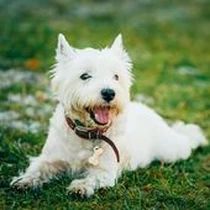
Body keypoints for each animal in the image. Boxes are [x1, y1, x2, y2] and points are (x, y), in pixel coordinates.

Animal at [11, 33, 207, 198]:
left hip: (170, 150)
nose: (109, 93)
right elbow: (38, 168)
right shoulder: (51, 158)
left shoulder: (105, 170)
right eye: (84, 76)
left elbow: (93, 177)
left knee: (185, 141)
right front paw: (24, 181)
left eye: (116, 76)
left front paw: (80, 187)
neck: (87, 132)